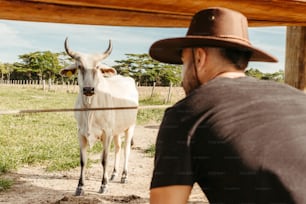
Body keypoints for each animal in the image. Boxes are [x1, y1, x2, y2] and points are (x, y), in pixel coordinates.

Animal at [59, 37, 139, 195]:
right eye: (79, 66)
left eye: (97, 67)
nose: (88, 89)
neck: (90, 109)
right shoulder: (81, 133)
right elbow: (83, 160)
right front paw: (80, 186)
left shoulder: (106, 133)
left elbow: (104, 159)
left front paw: (104, 185)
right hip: (117, 131)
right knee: (118, 148)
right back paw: (114, 174)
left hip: (130, 127)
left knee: (126, 149)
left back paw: (124, 175)